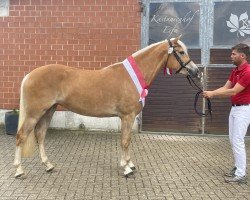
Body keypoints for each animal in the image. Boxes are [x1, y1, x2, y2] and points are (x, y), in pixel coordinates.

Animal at [13, 36, 201, 178]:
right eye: (181, 52)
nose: (196, 72)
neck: (132, 76)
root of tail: (29, 75)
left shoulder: (128, 117)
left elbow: (127, 139)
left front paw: (129, 164)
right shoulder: (127, 116)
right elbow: (125, 141)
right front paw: (126, 168)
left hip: (48, 111)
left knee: (40, 135)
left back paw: (48, 165)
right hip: (35, 113)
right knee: (21, 136)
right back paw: (19, 170)